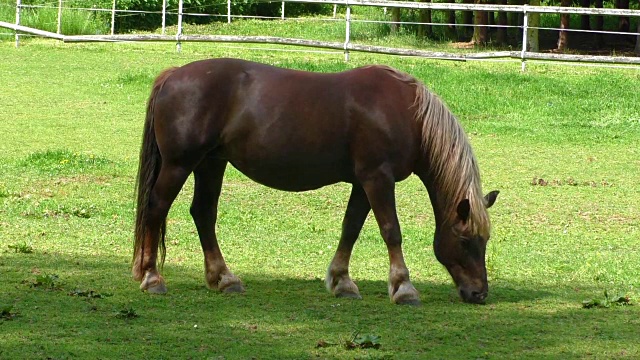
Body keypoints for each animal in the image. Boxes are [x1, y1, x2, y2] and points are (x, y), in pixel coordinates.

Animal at [131, 58, 500, 304]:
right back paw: (151, 277)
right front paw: (403, 288)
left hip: (211, 163)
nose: (479, 293)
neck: (407, 114)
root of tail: (173, 74)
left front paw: (342, 282)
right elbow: (391, 231)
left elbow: (351, 228)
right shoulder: (378, 178)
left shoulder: (363, 183)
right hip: (180, 164)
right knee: (156, 208)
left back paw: (223, 279)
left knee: (204, 213)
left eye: (484, 241)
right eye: (466, 240)